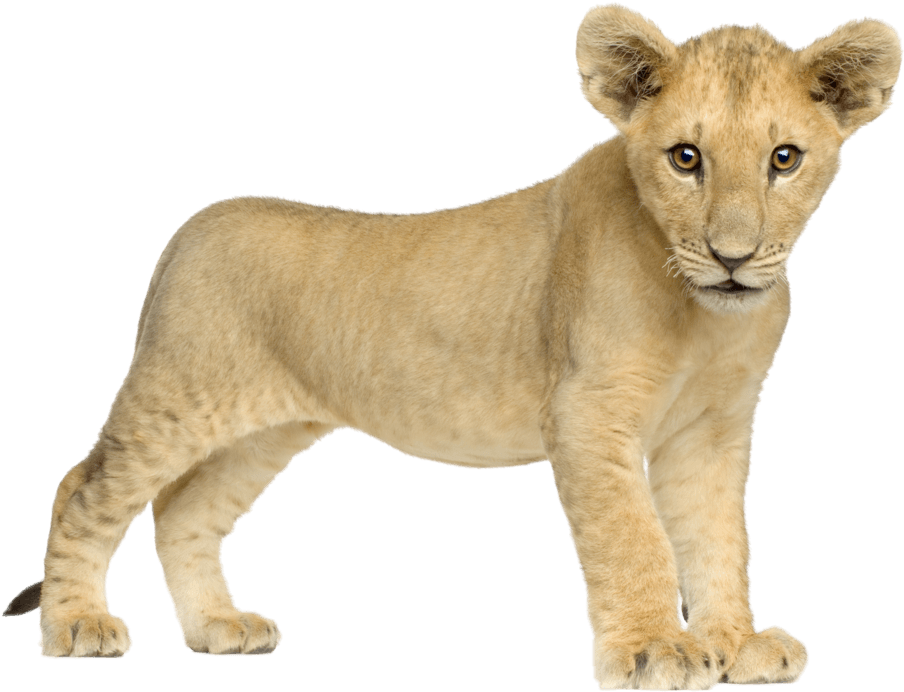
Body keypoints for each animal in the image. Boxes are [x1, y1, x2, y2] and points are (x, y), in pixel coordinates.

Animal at [3, 3, 900, 689]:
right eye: (686, 158)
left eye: (784, 158)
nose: (733, 256)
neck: (704, 316)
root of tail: (190, 225)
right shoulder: (589, 416)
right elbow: (633, 538)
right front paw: (655, 649)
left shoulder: (711, 432)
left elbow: (720, 539)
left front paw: (735, 644)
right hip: (178, 394)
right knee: (82, 488)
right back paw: (77, 626)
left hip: (265, 433)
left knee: (183, 510)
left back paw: (218, 627)